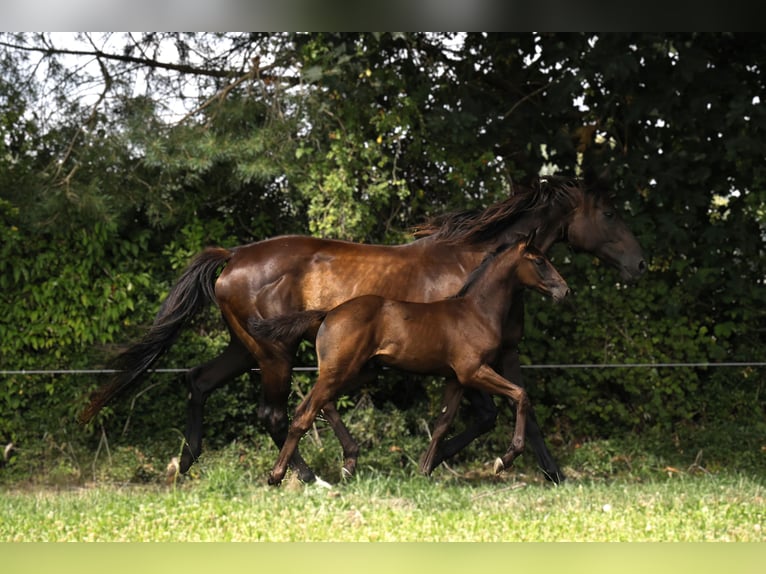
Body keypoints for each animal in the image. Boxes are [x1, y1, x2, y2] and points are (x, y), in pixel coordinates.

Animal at [255, 238, 572, 486]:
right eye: (540, 261)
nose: (565, 290)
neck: (475, 311)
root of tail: (328, 313)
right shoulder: (474, 372)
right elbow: (521, 395)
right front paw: (504, 459)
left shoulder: (456, 379)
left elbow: (443, 422)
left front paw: (424, 470)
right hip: (338, 372)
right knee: (303, 416)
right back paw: (277, 476)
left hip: (356, 374)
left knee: (310, 406)